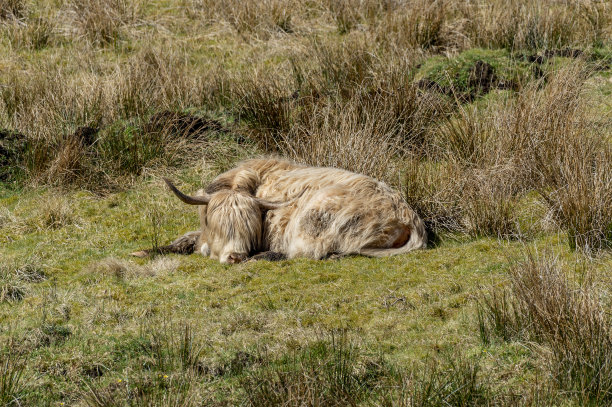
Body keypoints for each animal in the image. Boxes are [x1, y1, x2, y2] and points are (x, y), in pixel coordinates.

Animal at [138, 159, 426, 264]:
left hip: (312, 222)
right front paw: (144, 251)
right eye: (220, 226)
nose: (236, 257)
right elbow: (186, 238)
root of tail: (408, 216)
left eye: (250, 228)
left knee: (307, 253)